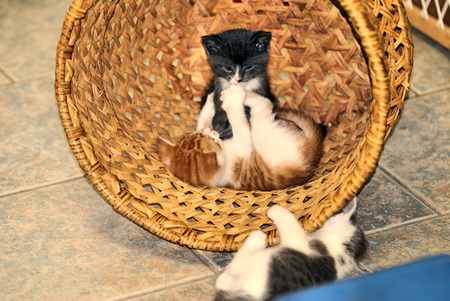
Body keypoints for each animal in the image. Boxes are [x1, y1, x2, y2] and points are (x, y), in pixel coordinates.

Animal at [157, 84, 324, 189]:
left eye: (195, 134)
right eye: (213, 140)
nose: (211, 130)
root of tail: (312, 154)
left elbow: (202, 120)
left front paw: (209, 101)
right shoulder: (243, 144)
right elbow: (239, 123)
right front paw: (231, 101)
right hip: (264, 131)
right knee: (265, 105)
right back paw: (239, 95)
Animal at [215, 197, 370, 300]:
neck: (339, 247)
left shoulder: (300, 241)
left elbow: (290, 221)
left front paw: (276, 209)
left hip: (261, 263)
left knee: (234, 267)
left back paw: (256, 238)